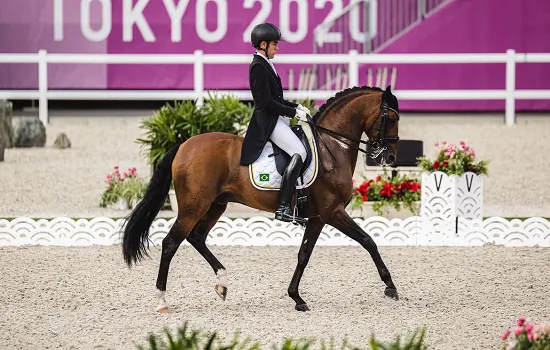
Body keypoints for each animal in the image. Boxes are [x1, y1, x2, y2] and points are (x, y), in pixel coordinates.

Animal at [123, 84, 404, 312]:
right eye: (391, 118)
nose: (391, 157)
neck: (332, 147)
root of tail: (184, 145)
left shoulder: (317, 218)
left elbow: (304, 255)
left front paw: (296, 298)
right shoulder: (333, 212)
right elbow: (368, 241)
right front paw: (390, 286)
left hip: (215, 204)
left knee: (196, 237)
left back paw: (222, 283)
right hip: (194, 206)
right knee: (171, 243)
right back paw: (162, 301)